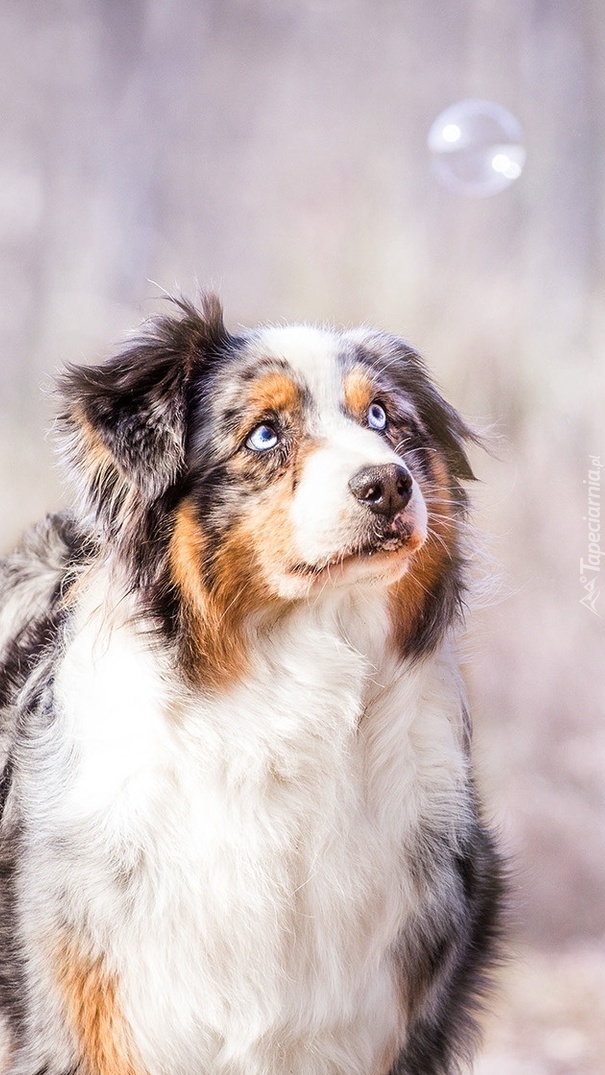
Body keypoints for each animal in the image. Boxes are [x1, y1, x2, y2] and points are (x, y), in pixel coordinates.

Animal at [0, 296, 502, 1075]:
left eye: (383, 416)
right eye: (264, 434)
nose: (389, 483)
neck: (287, 696)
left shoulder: (377, 1014)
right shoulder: (89, 1011)